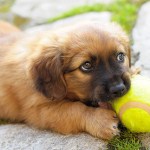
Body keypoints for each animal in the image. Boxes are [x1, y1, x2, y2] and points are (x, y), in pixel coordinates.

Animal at [0, 21, 131, 140]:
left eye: (120, 56)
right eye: (86, 65)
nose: (119, 89)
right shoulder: (37, 110)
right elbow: (74, 109)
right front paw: (100, 120)